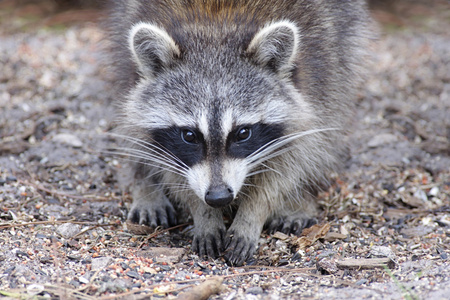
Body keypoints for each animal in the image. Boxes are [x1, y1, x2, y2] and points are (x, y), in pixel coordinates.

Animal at [108, 0, 370, 264]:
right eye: (189, 136)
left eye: (242, 133)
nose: (218, 197)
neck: (216, 27)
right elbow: (171, 165)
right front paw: (203, 214)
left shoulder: (319, 68)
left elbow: (292, 160)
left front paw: (253, 214)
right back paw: (146, 186)